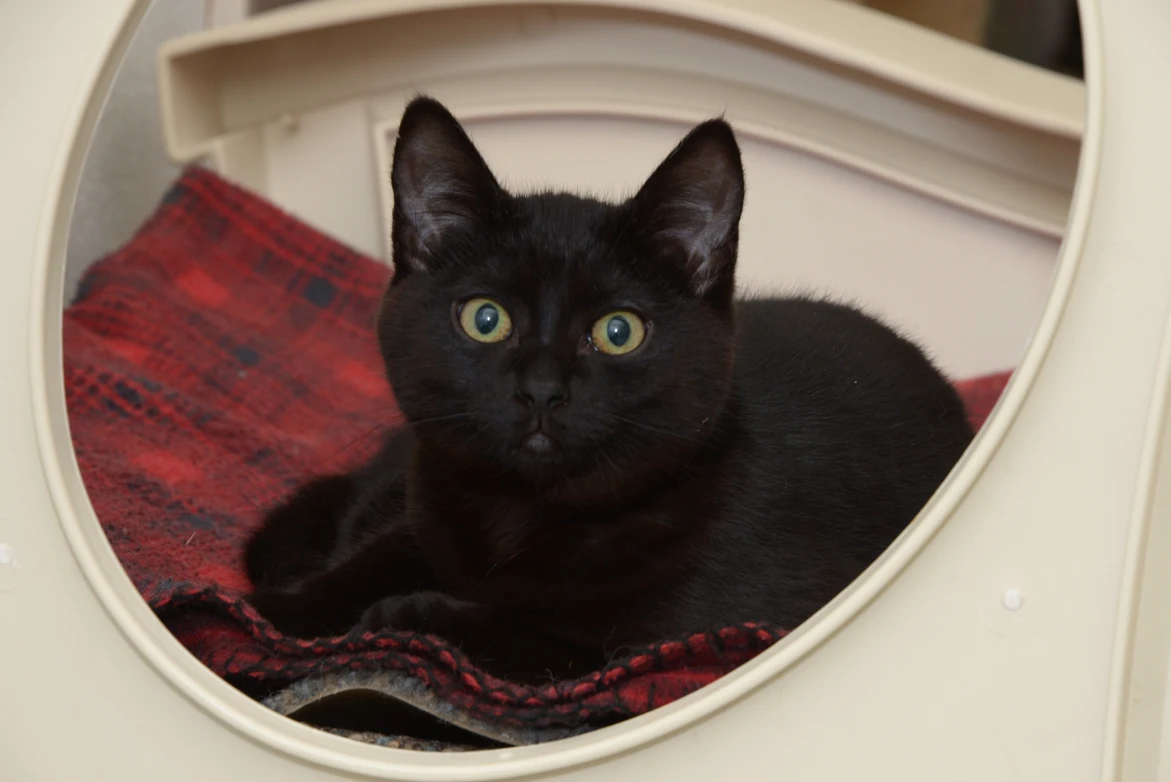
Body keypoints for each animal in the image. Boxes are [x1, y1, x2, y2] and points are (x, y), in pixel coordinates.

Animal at [244, 95, 969, 683]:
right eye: (486, 318)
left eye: (619, 331)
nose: (541, 390)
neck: (518, 516)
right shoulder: (426, 511)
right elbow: (372, 556)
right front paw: (271, 613)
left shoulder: (689, 642)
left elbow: (542, 641)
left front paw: (405, 615)